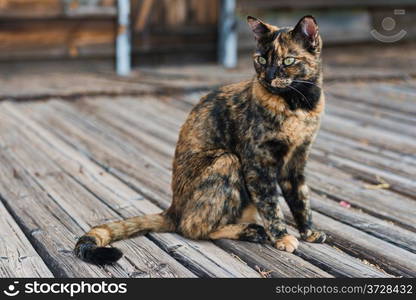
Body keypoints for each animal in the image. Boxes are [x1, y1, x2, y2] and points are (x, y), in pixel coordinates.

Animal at [75, 15, 328, 264]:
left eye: (288, 61)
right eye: (261, 59)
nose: (268, 77)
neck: (298, 105)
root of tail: (173, 208)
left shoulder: (295, 160)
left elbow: (301, 198)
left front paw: (309, 232)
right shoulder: (257, 162)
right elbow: (270, 204)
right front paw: (282, 237)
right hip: (227, 159)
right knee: (192, 227)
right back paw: (253, 231)